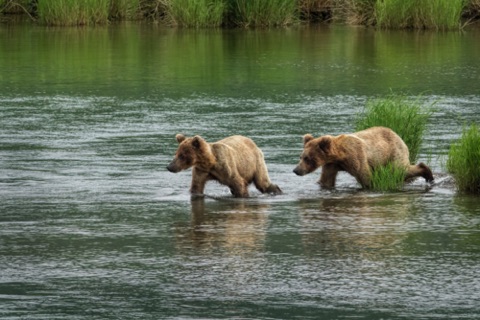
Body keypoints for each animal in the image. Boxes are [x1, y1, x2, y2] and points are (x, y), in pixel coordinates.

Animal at [292, 126, 436, 189]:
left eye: (308, 158)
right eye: (301, 156)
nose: (296, 170)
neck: (340, 155)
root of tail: (397, 134)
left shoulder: (356, 156)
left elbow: (365, 176)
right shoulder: (331, 164)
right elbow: (326, 180)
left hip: (394, 151)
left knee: (401, 169)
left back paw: (428, 174)